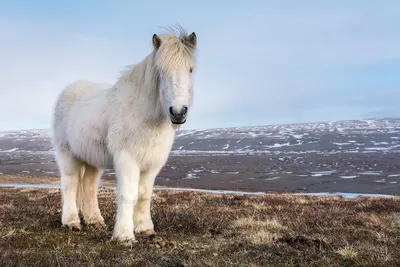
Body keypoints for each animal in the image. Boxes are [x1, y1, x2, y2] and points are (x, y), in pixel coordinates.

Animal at [50, 26, 198, 245]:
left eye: (190, 69)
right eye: (161, 71)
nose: (178, 112)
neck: (142, 113)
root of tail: (69, 90)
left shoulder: (152, 164)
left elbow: (144, 194)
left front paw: (145, 228)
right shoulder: (127, 159)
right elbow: (128, 194)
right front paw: (124, 235)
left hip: (92, 160)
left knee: (89, 186)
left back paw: (94, 220)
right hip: (68, 154)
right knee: (70, 183)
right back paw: (72, 222)